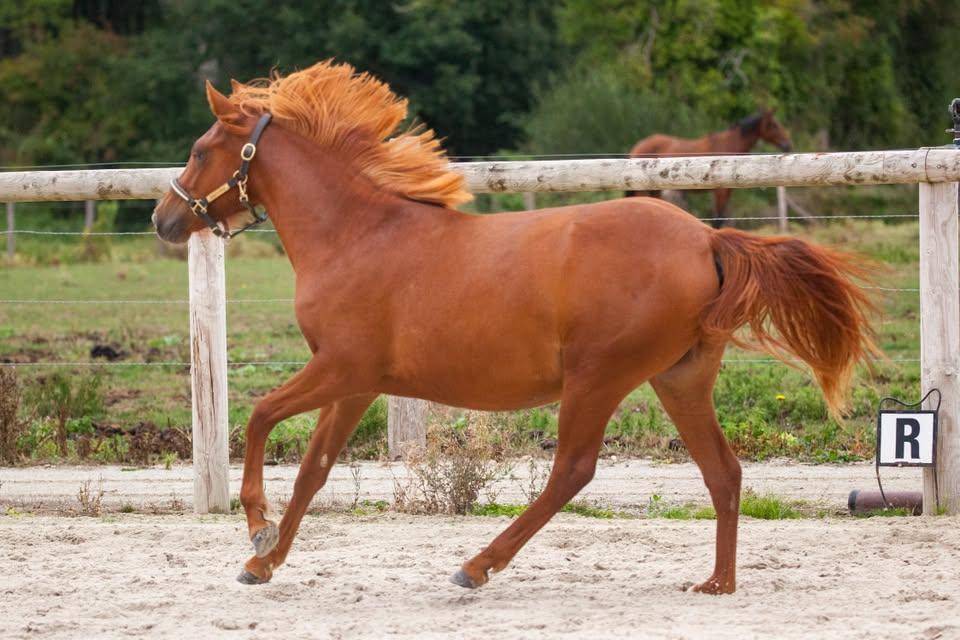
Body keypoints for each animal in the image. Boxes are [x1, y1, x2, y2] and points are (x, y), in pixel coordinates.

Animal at [627, 110, 793, 228]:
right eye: (774, 125)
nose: (787, 144)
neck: (728, 145)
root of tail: (638, 147)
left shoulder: (727, 191)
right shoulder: (720, 192)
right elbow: (717, 219)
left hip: (656, 190)